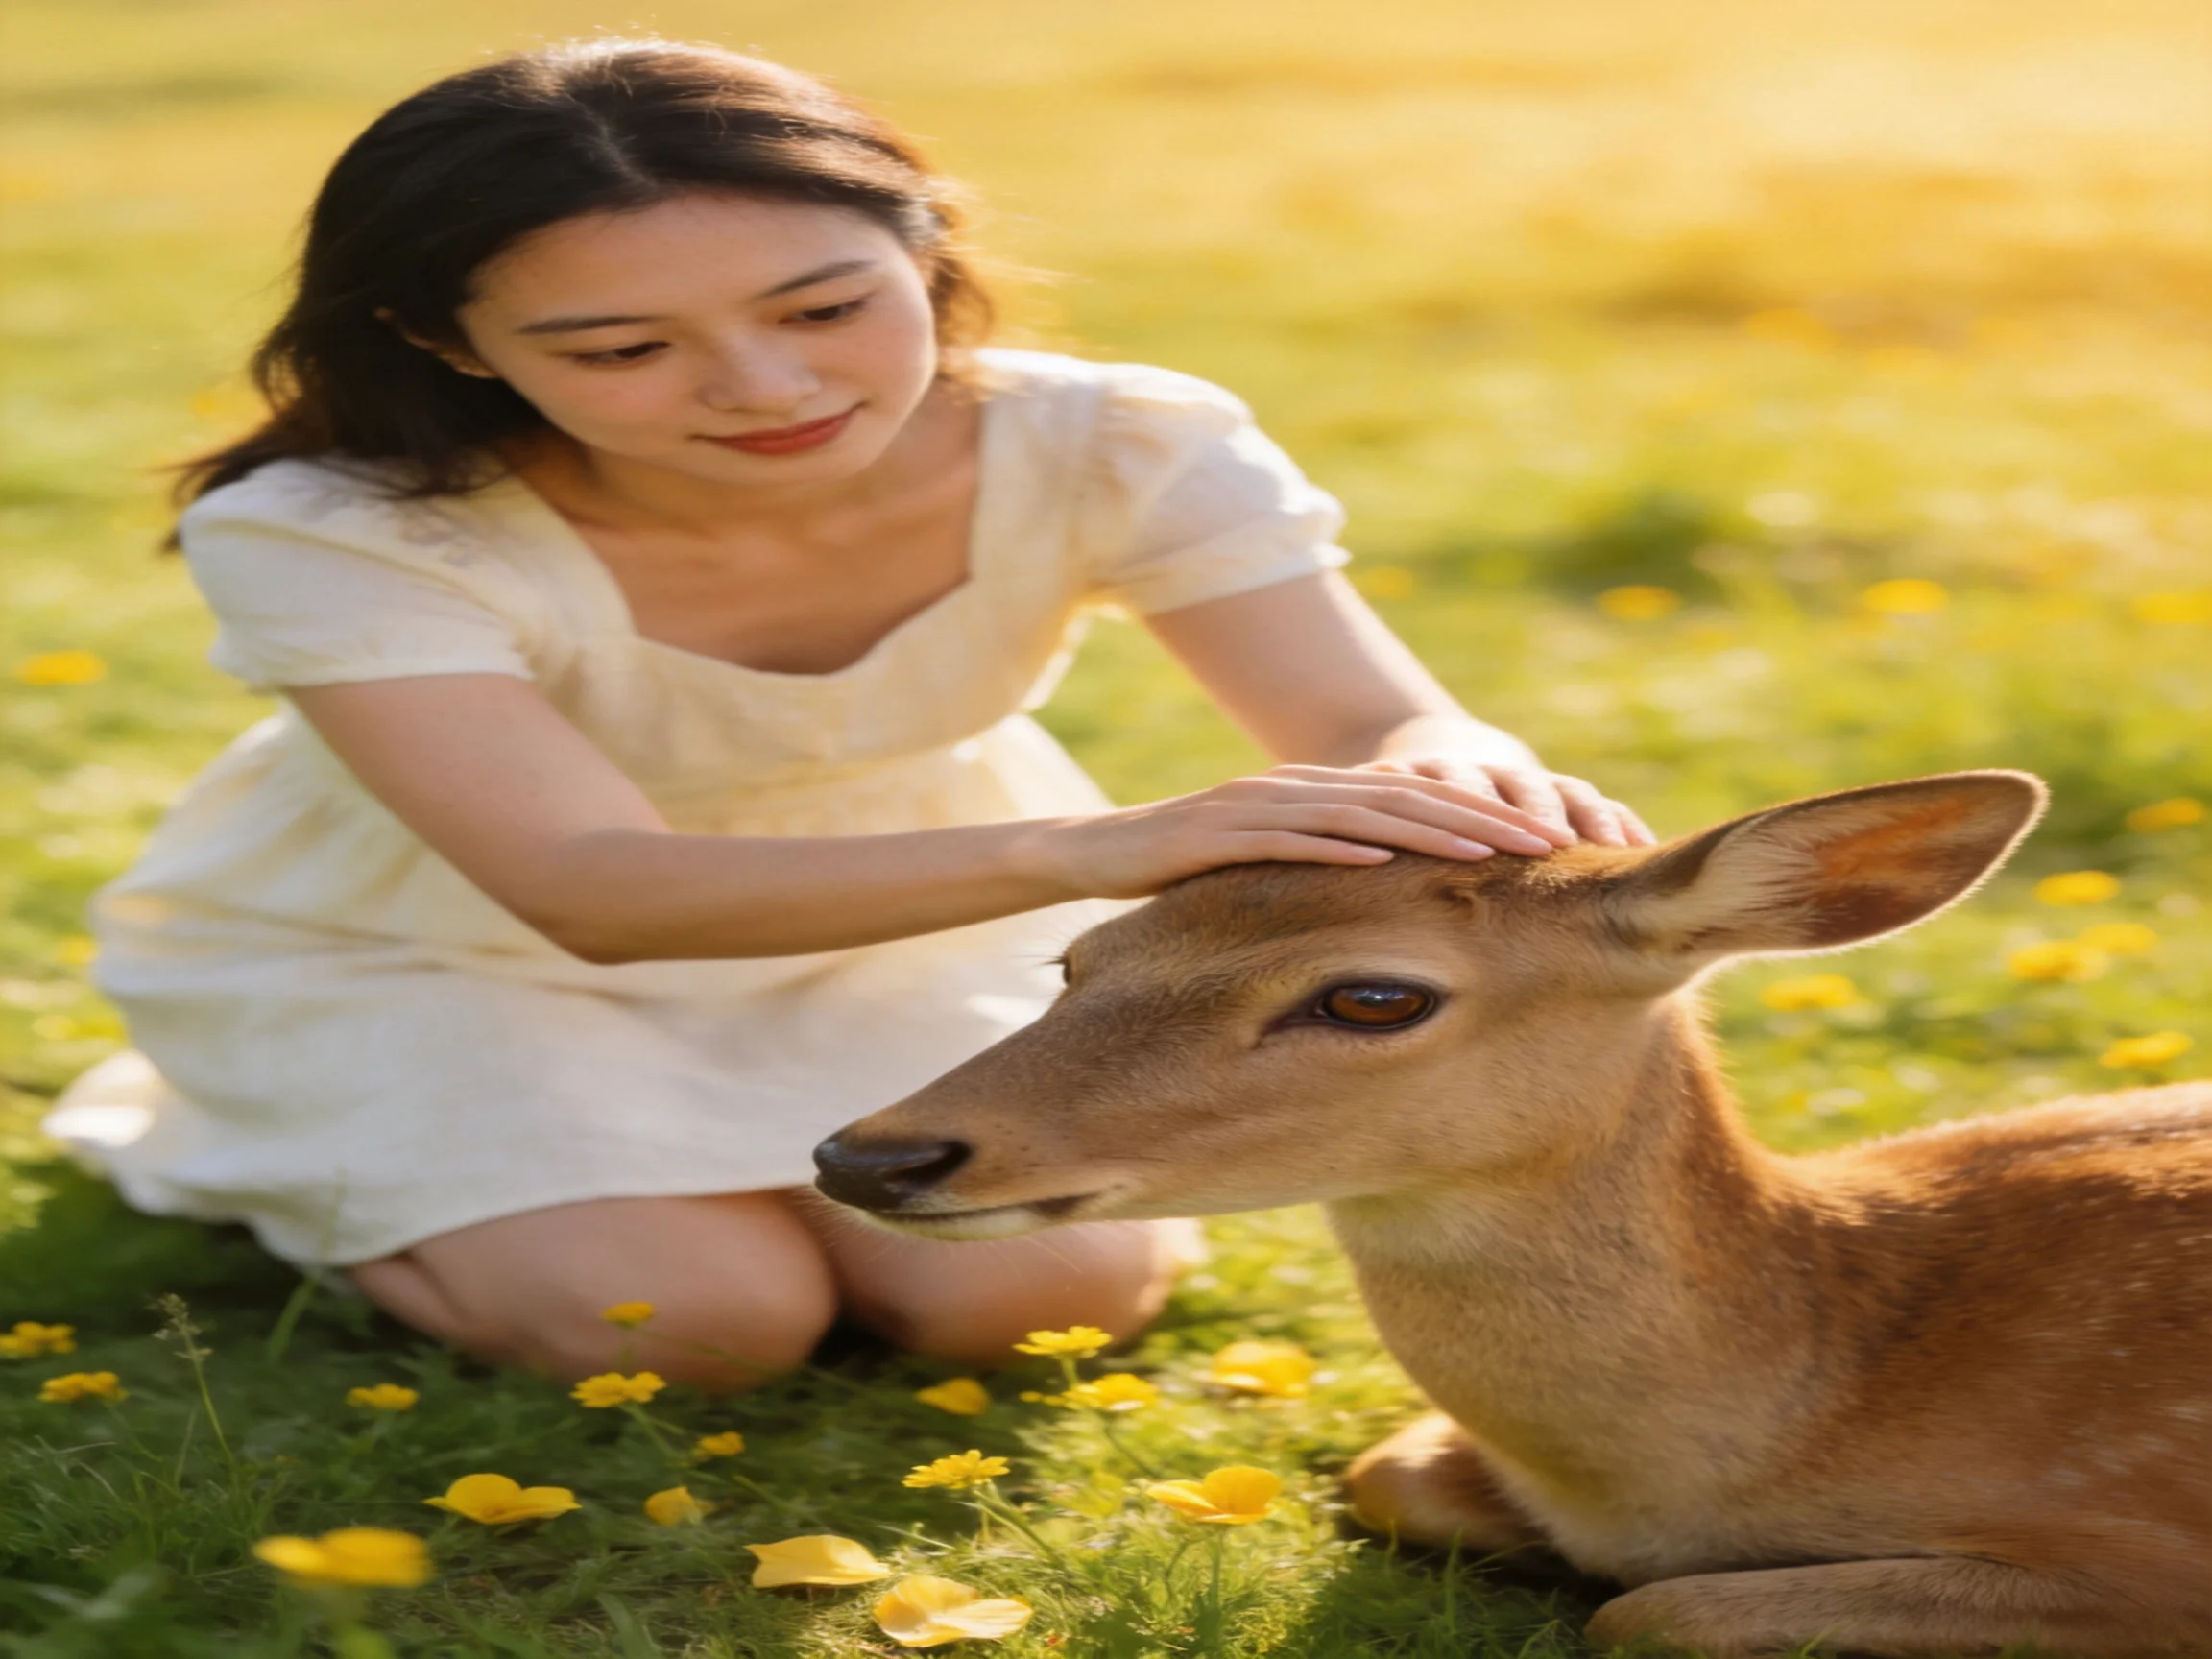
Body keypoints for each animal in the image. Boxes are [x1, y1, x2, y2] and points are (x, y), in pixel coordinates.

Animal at [813, 771, 2212, 1656]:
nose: (864, 1154)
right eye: (1076, 959)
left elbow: (1650, 1612)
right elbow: (1385, 1473)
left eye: (1374, 996)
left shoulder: (2149, 1558)